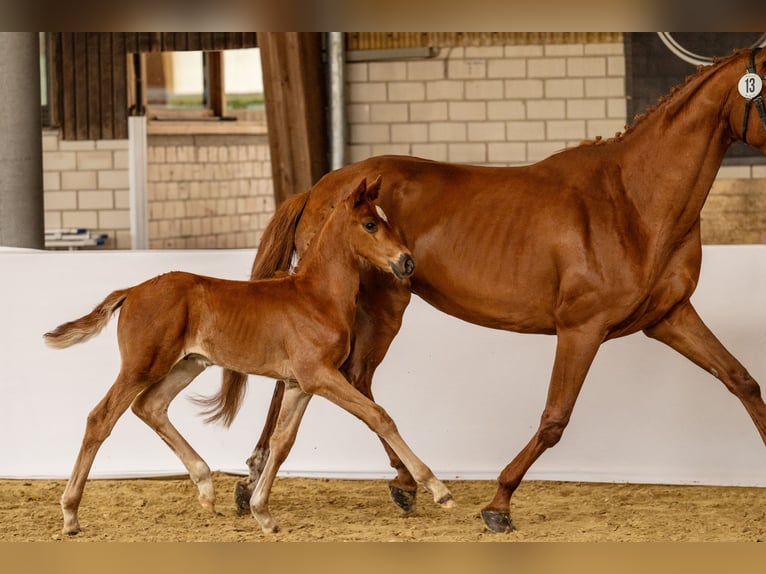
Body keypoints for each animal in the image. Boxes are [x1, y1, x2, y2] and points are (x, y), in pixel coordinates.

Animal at [45, 178, 452, 536]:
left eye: (386, 220)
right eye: (370, 224)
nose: (407, 262)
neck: (316, 297)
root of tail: (131, 291)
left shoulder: (299, 384)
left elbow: (282, 442)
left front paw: (262, 513)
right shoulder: (320, 375)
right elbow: (379, 416)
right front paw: (438, 489)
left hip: (187, 365)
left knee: (150, 407)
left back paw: (206, 486)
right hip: (141, 365)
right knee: (101, 418)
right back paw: (70, 515)